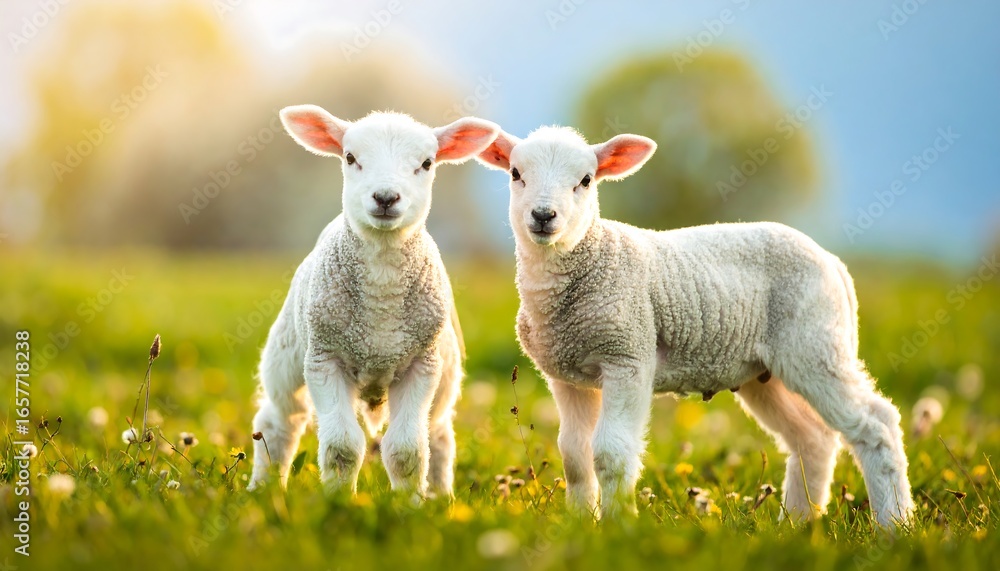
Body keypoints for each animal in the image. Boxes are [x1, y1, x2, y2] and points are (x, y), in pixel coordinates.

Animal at [248, 105, 499, 498]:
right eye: (350, 158)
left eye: (427, 163)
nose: (385, 198)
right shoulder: (324, 359)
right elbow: (342, 447)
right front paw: (338, 501)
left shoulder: (422, 365)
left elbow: (407, 450)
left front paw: (410, 503)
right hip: (287, 355)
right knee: (278, 421)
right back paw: (263, 489)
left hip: (446, 375)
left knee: (439, 434)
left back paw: (442, 498)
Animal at [476, 126, 914, 526]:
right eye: (515, 173)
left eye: (585, 180)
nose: (543, 216)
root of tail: (833, 262)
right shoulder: (568, 376)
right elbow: (575, 456)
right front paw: (581, 525)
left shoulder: (628, 357)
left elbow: (611, 453)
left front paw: (617, 528)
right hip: (765, 372)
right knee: (814, 438)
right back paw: (797, 523)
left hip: (815, 343)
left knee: (876, 424)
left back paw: (893, 524)